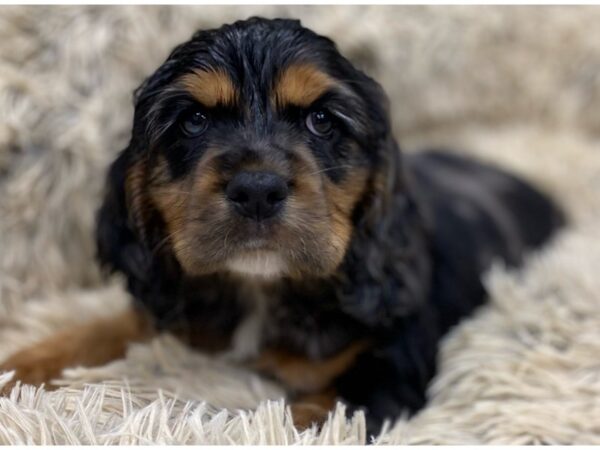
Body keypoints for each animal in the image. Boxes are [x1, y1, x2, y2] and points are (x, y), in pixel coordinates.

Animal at [0, 16, 564, 436]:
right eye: (193, 121)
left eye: (322, 120)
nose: (257, 189)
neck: (260, 288)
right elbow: (109, 326)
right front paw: (21, 368)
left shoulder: (391, 370)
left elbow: (312, 411)